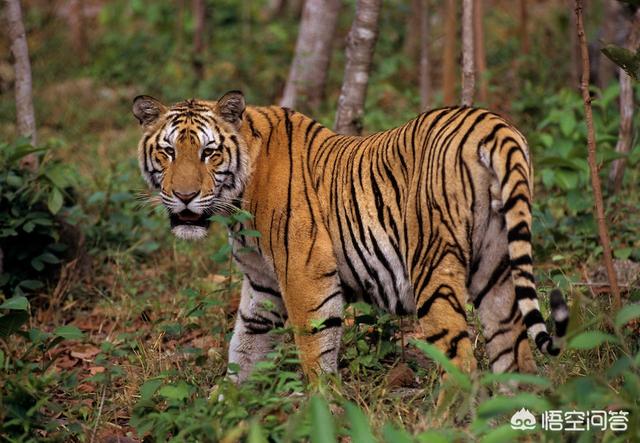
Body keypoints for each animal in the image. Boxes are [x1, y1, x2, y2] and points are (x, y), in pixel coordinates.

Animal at [132, 91, 568, 386]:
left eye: (209, 153)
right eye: (168, 152)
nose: (185, 196)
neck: (237, 202)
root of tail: (492, 124)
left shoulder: (305, 275)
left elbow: (314, 348)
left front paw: (323, 408)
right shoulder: (261, 284)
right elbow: (245, 346)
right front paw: (227, 407)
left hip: (433, 267)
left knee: (461, 362)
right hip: (497, 269)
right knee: (516, 357)